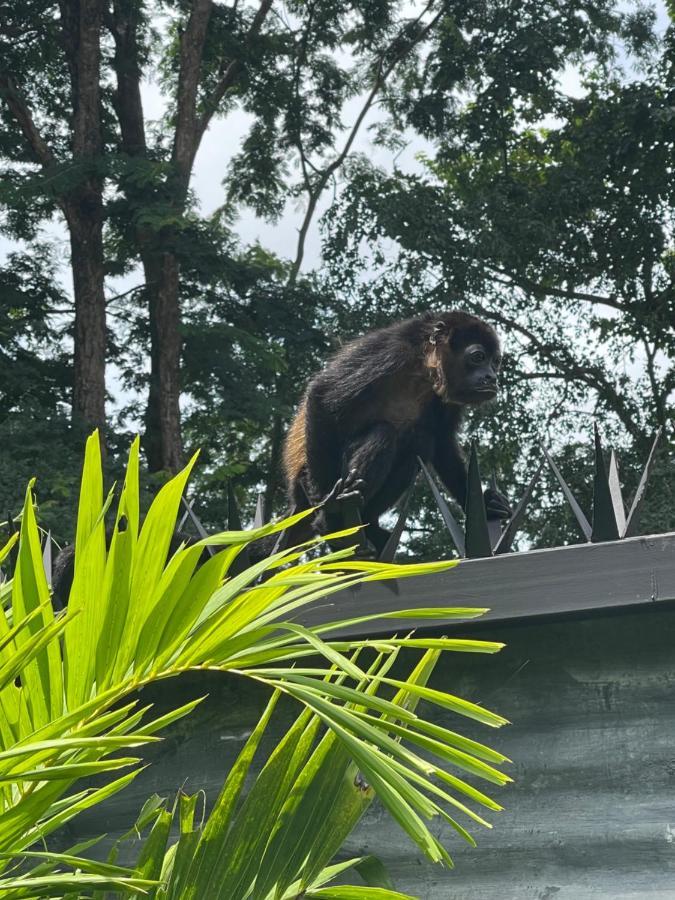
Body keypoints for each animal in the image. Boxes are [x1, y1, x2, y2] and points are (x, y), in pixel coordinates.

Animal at [284, 308, 512, 556]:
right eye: (478, 357)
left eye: (495, 362)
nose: (492, 377)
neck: (422, 369)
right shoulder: (392, 354)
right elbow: (322, 394)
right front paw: (329, 508)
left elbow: (443, 443)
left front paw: (486, 504)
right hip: (310, 478)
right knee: (384, 434)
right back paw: (335, 520)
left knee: (420, 441)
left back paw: (370, 527)